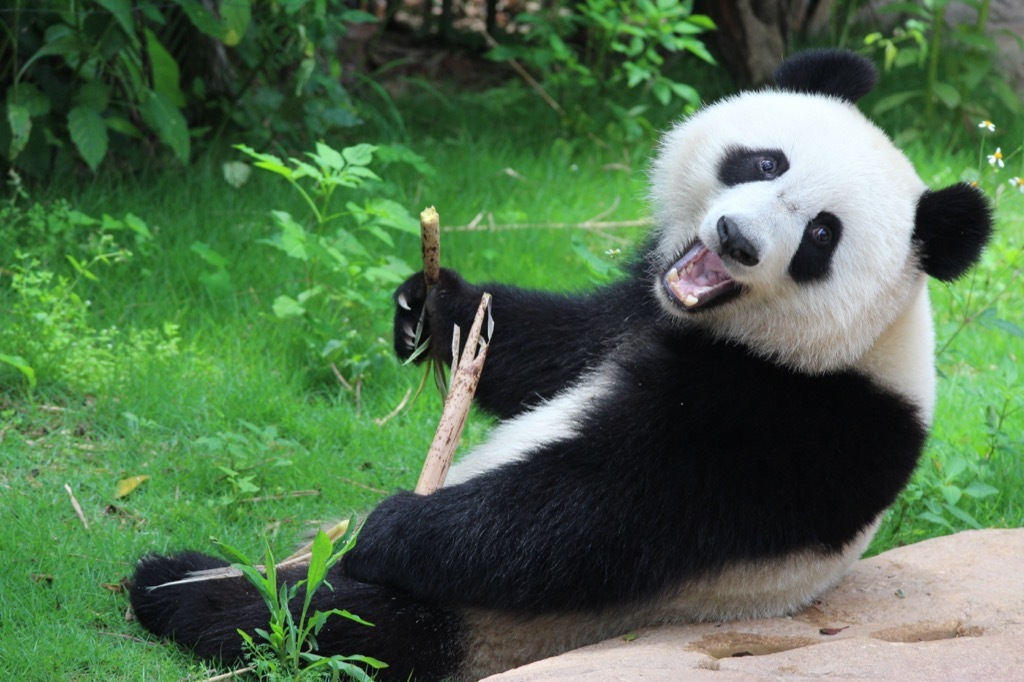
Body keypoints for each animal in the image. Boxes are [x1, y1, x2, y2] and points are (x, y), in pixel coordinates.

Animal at [128, 50, 991, 675]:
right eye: (763, 163)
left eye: (820, 235)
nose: (738, 241)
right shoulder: (641, 308)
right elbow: (554, 348)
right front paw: (432, 306)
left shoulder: (803, 424)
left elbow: (600, 510)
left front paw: (397, 525)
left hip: (488, 623)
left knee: (331, 620)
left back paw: (183, 591)